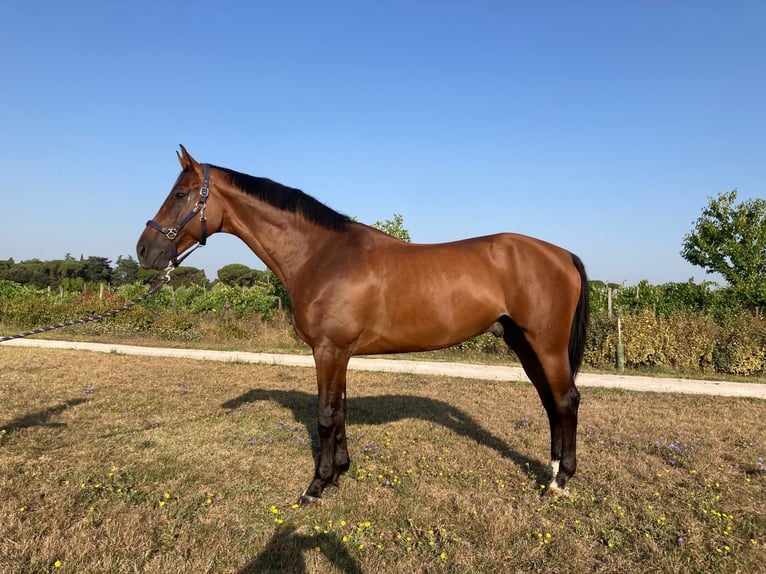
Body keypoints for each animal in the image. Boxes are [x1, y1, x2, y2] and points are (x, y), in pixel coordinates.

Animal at [138, 146, 592, 506]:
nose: (145, 250)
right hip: (524, 344)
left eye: (180, 194)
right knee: (550, 402)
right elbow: (339, 411)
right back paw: (551, 470)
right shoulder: (338, 353)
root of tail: (563, 254)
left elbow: (326, 415)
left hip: (546, 345)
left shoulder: (328, 349)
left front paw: (316, 486)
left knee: (566, 400)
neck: (322, 255)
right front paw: (340, 471)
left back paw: (561, 481)